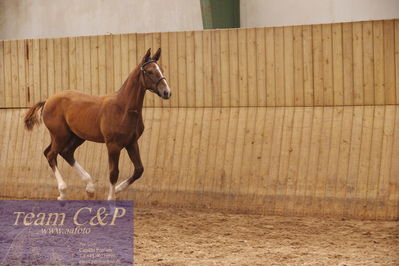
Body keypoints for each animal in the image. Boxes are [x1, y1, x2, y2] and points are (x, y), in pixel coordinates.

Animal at [23, 48, 170, 201]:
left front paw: (117, 190)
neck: (123, 108)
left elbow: (139, 170)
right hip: (60, 135)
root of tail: (48, 100)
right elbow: (113, 173)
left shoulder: (132, 142)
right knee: (51, 155)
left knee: (65, 152)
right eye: (150, 71)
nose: (167, 92)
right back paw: (63, 192)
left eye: (161, 70)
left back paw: (90, 188)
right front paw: (111, 200)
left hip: (76, 136)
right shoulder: (113, 145)